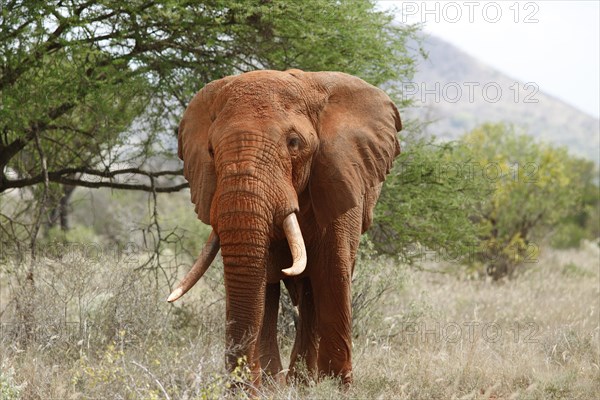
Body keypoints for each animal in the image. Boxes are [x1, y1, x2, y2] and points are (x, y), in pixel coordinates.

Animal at [168, 69, 404, 388]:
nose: (241, 387)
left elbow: (332, 272)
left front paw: (336, 388)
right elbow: (263, 282)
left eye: (294, 143)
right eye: (211, 150)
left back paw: (303, 382)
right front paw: (266, 386)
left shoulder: (338, 175)